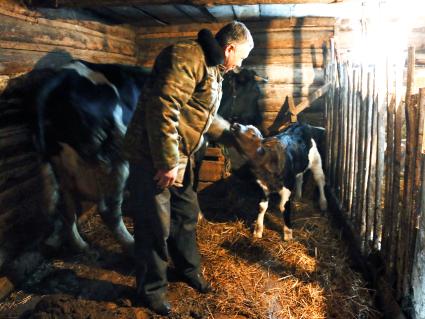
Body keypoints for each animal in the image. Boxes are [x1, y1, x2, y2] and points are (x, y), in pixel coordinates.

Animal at [31, 59, 149, 252]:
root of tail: (62, 76)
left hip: (59, 164)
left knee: (67, 210)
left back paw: (81, 246)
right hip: (114, 154)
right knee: (109, 210)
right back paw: (132, 245)